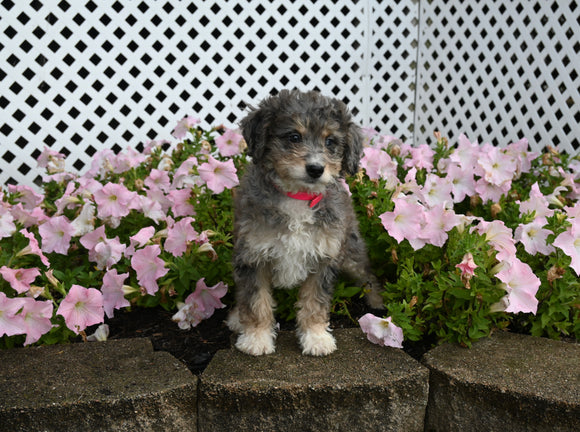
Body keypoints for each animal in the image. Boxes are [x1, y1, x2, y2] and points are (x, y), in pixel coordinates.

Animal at [228, 89, 386, 356]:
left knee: (367, 274)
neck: (298, 196)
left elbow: (315, 302)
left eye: (330, 142)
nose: (315, 169)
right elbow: (256, 300)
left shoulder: (324, 257)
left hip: (351, 249)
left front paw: (316, 338)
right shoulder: (252, 255)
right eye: (294, 136)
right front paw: (256, 338)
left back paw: (378, 302)